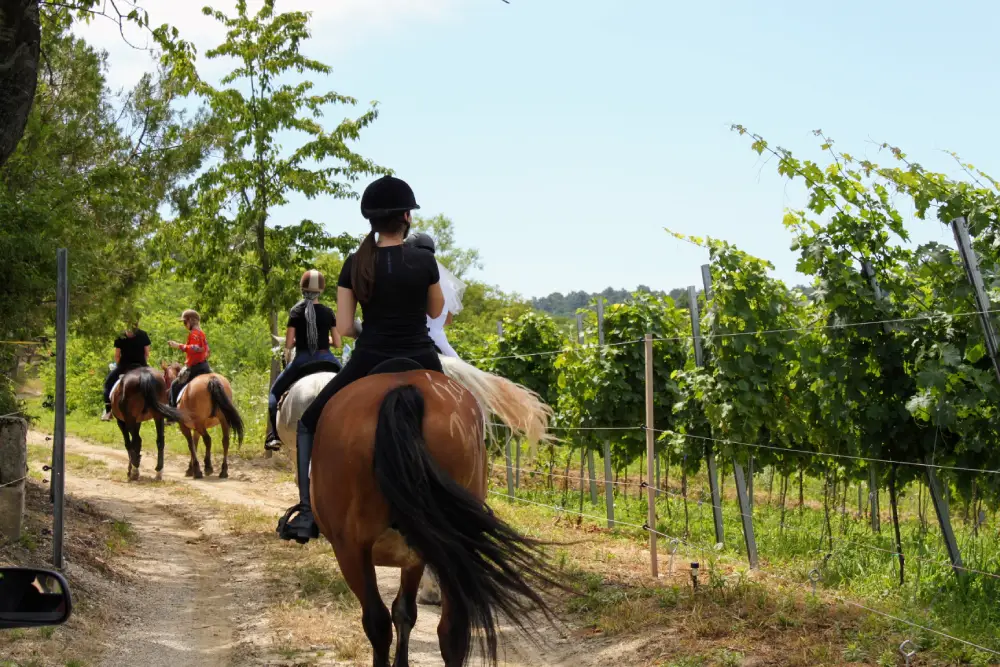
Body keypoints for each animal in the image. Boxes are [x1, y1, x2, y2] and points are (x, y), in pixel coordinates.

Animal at [312, 370, 564, 667]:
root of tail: (404, 391)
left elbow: (397, 614)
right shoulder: (417, 553)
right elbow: (405, 612)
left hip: (351, 549)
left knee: (377, 623)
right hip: (450, 548)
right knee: (452, 630)